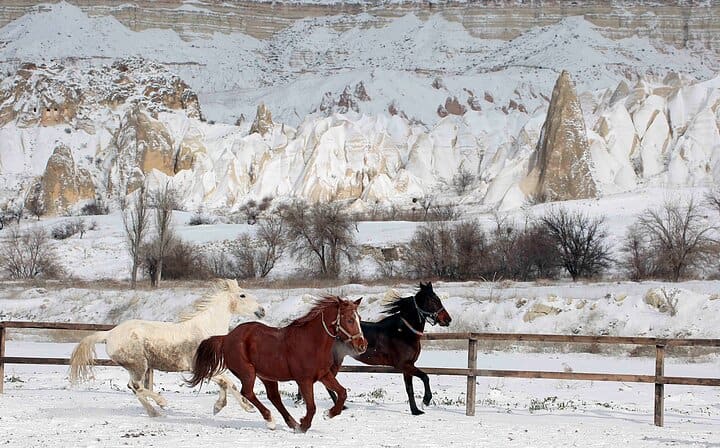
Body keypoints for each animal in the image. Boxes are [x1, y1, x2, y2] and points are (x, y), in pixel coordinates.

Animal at [69, 278, 266, 417]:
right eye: (242, 295)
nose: (262, 310)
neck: (206, 330)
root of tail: (109, 334)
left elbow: (227, 383)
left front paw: (225, 407)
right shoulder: (199, 368)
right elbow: (228, 383)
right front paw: (244, 407)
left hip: (135, 367)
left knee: (133, 387)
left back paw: (154, 413)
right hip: (139, 365)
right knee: (136, 386)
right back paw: (161, 403)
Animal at [187, 295, 367, 433]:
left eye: (359, 319)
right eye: (350, 320)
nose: (362, 345)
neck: (311, 342)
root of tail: (226, 337)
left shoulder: (324, 375)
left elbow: (342, 393)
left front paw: (328, 414)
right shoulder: (304, 380)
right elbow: (312, 406)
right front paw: (304, 425)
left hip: (267, 376)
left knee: (274, 397)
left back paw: (291, 423)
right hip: (248, 372)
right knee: (248, 393)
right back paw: (271, 420)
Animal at [297, 282, 451, 415]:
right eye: (432, 301)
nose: (448, 320)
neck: (403, 332)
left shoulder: (409, 365)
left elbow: (410, 389)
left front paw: (415, 411)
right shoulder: (403, 365)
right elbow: (425, 377)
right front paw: (426, 401)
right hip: (335, 362)